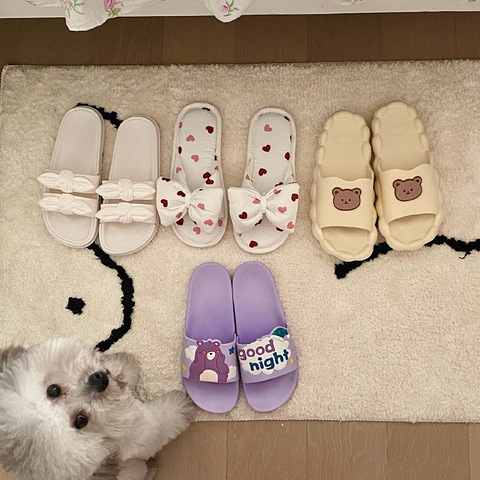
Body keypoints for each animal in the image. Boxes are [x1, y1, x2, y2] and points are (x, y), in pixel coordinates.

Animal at [0, 337, 194, 480]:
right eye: (81, 420)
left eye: (53, 390)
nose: (98, 380)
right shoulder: (142, 432)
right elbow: (162, 421)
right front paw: (183, 404)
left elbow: (120, 371)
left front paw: (126, 363)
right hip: (133, 470)